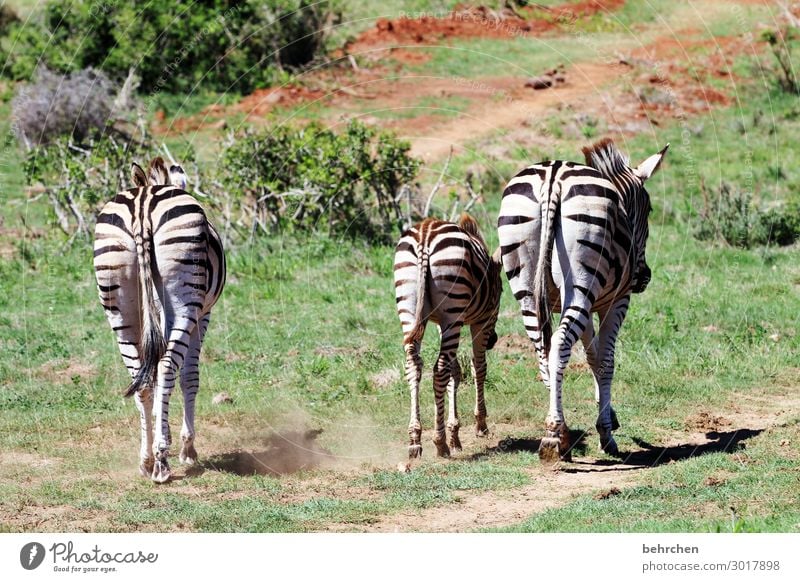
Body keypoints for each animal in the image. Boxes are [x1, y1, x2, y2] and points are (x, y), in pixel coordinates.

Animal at [92, 156, 227, 484]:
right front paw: (188, 449)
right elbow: (189, 376)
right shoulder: (203, 315)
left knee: (140, 377)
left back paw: (147, 459)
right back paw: (163, 462)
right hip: (185, 300)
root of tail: (143, 203)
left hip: (119, 302)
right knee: (166, 368)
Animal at [394, 214, 500, 460]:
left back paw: (415, 439)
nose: (494, 341)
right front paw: (480, 424)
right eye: (500, 294)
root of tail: (424, 236)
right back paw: (439, 443)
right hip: (453, 308)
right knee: (440, 368)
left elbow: (456, 370)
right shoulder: (481, 320)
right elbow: (478, 367)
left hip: (410, 307)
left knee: (414, 364)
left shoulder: (444, 323)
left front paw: (455, 434)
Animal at [496, 139, 664, 464]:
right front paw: (606, 432)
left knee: (544, 353)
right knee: (559, 346)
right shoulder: (615, 301)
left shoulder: (584, 302)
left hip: (531, 287)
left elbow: (592, 357)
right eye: (649, 208)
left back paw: (559, 432)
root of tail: (553, 179)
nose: (643, 276)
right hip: (582, 283)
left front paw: (608, 415)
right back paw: (554, 437)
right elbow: (606, 360)